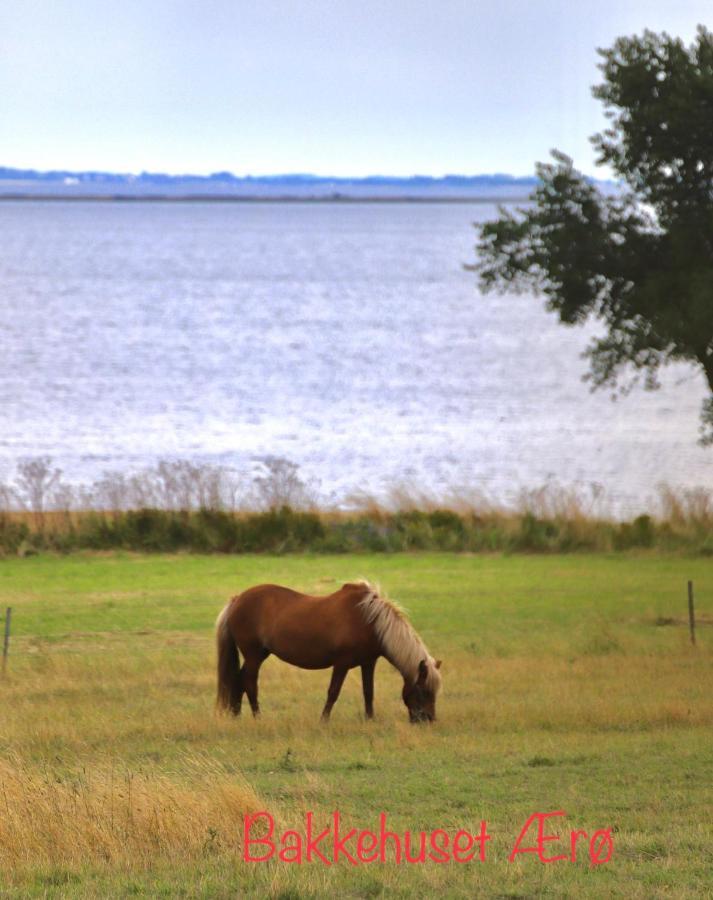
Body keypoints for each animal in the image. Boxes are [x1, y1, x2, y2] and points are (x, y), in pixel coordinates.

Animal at [214, 584, 442, 724]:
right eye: (423, 691)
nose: (428, 720)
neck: (370, 621)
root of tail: (237, 599)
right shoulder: (341, 664)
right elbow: (333, 692)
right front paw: (323, 721)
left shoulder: (368, 662)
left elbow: (368, 692)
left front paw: (370, 719)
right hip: (253, 655)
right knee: (250, 683)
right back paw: (257, 717)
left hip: (259, 654)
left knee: (239, 680)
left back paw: (236, 714)